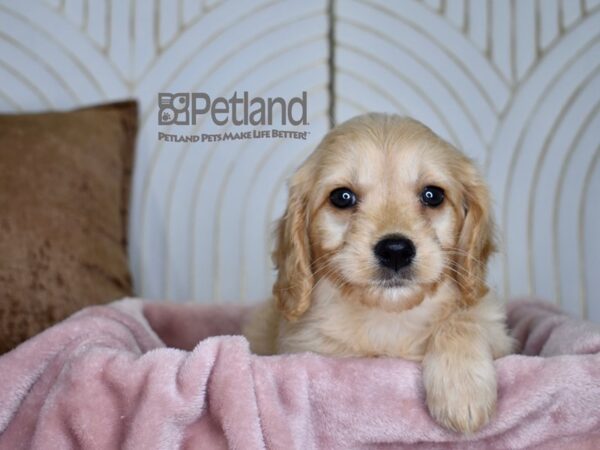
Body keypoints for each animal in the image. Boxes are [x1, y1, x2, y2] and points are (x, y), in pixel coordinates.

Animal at [241, 114, 512, 434]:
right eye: (342, 197)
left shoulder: (497, 331)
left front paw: (462, 389)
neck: (390, 319)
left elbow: (462, 319)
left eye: (433, 195)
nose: (395, 250)